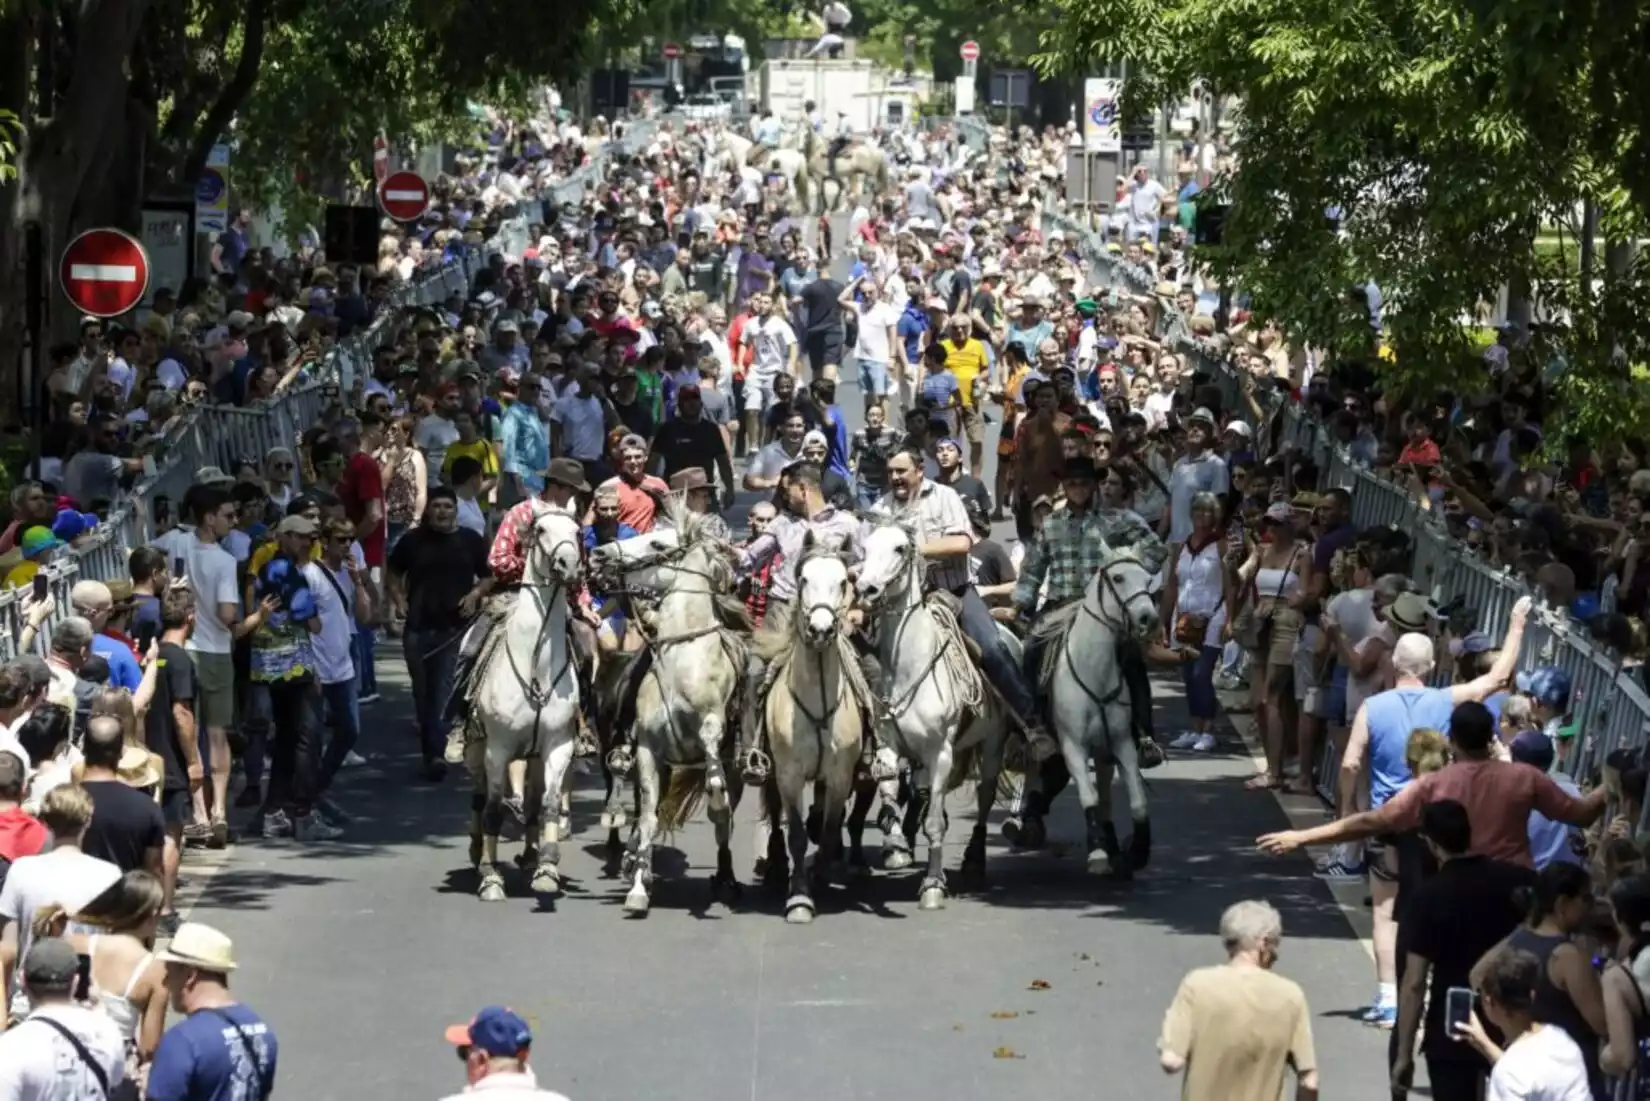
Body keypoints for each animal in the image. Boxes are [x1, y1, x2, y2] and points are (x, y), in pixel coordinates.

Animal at [471, 505, 587, 897]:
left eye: (577, 531)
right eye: (540, 530)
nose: (569, 564)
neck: (535, 665)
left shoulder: (557, 745)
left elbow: (549, 803)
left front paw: (547, 869)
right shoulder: (498, 749)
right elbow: (492, 809)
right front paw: (491, 877)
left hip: (535, 757)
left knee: (535, 804)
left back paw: (531, 853)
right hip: (475, 751)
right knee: (478, 801)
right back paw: (477, 852)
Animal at [587, 511, 749, 917]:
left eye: (657, 543)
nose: (598, 555)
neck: (682, 661)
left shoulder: (712, 723)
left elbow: (710, 745)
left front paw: (714, 791)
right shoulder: (649, 751)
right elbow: (646, 818)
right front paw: (637, 890)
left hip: (735, 770)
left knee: (724, 823)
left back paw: (726, 879)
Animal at [755, 538, 871, 924]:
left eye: (844, 581)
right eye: (803, 579)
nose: (821, 630)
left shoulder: (839, 775)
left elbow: (831, 827)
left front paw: (821, 877)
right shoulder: (789, 775)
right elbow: (796, 834)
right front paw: (800, 898)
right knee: (775, 814)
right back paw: (776, 867)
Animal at [858, 524, 1009, 911]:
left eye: (900, 548)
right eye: (865, 547)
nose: (866, 588)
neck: (911, 668)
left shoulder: (941, 753)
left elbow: (935, 825)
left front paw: (933, 886)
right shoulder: (890, 745)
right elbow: (890, 788)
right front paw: (896, 845)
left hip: (993, 745)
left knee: (984, 797)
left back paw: (974, 859)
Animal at [1042, 548, 1161, 878]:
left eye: (1148, 579)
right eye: (1118, 578)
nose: (1148, 618)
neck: (1093, 670)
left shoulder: (1122, 743)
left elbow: (1137, 800)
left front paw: (1137, 852)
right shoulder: (1072, 746)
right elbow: (1089, 796)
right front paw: (1097, 853)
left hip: (1105, 748)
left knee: (1107, 793)